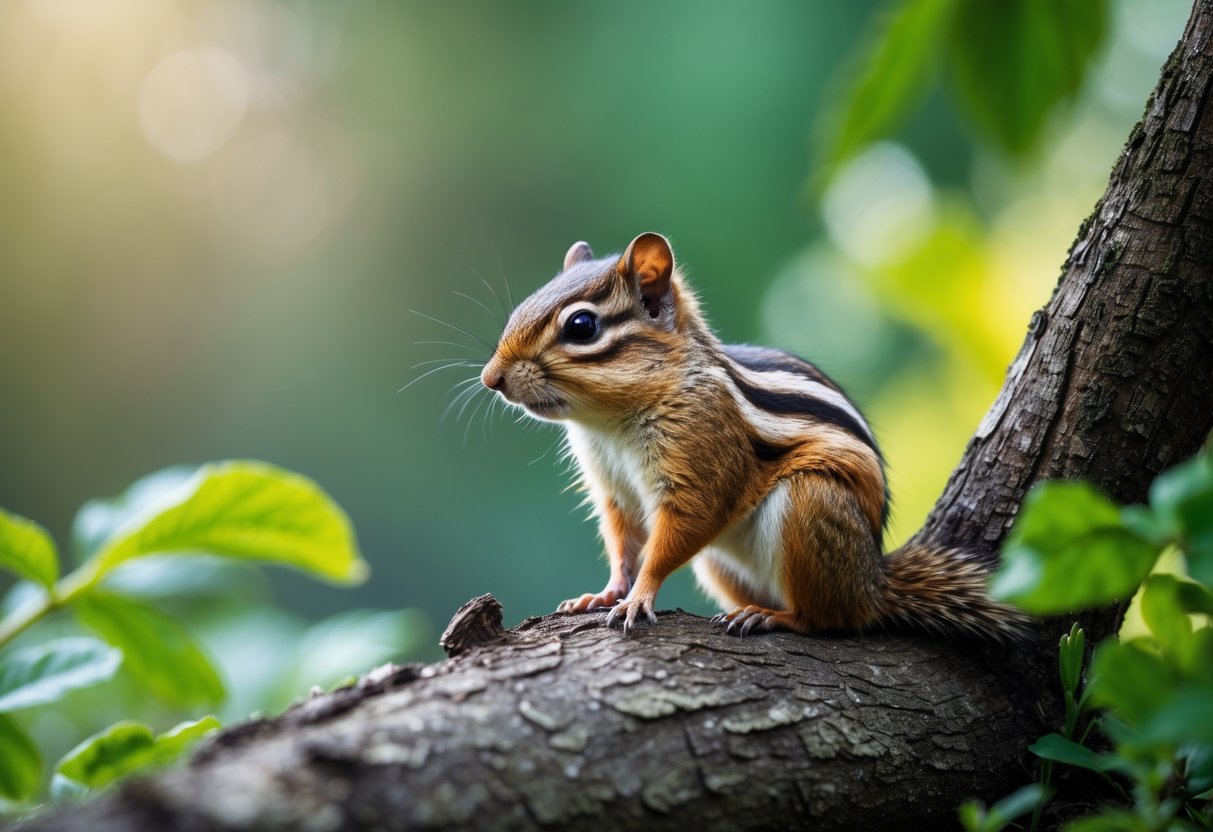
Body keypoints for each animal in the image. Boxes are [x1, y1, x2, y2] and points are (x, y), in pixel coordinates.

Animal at [480, 232, 1029, 641]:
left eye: (581, 325)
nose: (491, 378)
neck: (608, 424)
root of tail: (874, 583)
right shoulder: (615, 490)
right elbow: (623, 543)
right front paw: (605, 592)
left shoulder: (702, 456)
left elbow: (681, 529)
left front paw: (639, 597)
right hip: (721, 565)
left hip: (810, 504)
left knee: (831, 619)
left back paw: (772, 617)